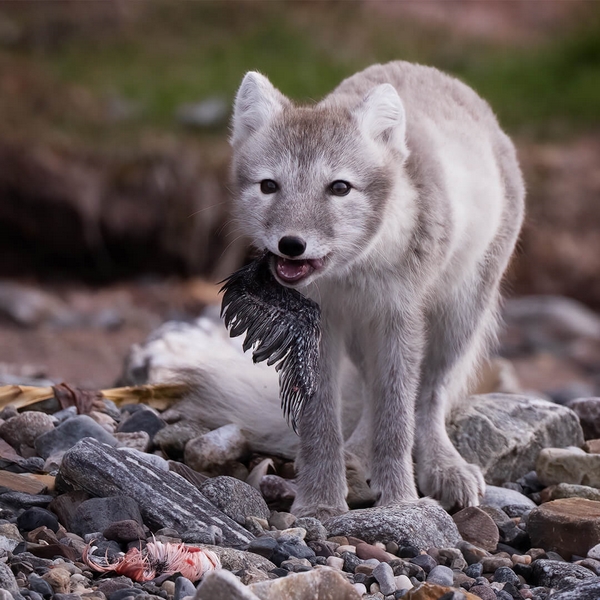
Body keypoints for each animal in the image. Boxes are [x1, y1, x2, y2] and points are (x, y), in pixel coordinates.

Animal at [225, 62, 520, 520]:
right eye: (269, 186)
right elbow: (320, 422)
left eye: (340, 188)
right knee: (369, 392)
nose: (291, 244)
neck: (352, 274)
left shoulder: (399, 317)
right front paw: (321, 503)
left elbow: (397, 417)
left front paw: (401, 503)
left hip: (457, 319)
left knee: (428, 397)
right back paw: (356, 455)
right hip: (361, 337)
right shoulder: (323, 325)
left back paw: (444, 467)